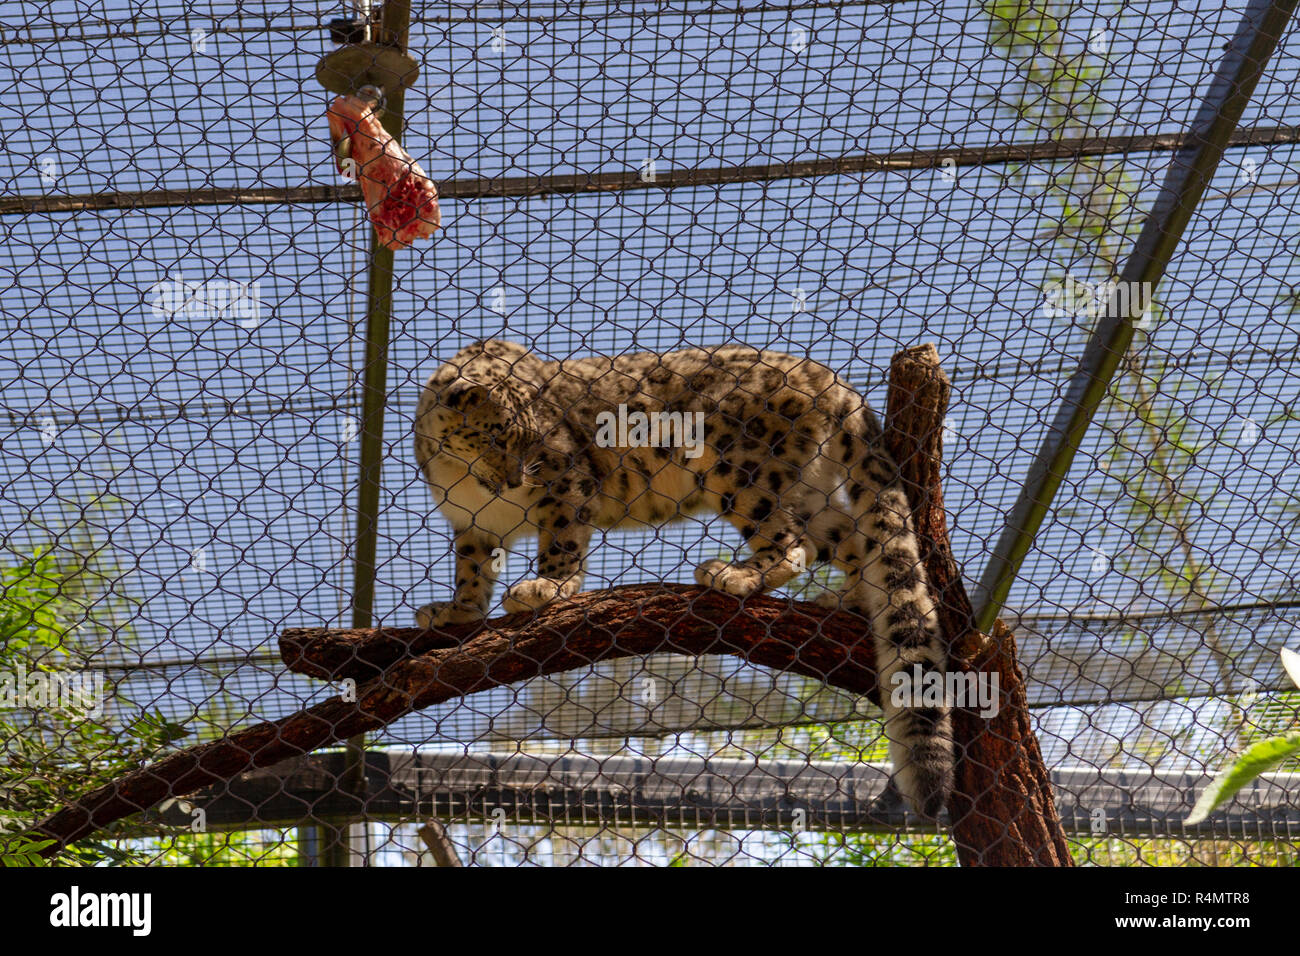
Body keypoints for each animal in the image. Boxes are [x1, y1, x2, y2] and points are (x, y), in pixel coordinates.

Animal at [413, 338, 954, 816]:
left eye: (533, 441)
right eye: (496, 436)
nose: (514, 479)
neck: (466, 479)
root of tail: (827, 376)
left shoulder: (566, 487)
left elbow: (562, 545)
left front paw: (543, 589)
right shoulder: (473, 523)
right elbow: (471, 568)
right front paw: (455, 611)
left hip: (742, 469)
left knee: (793, 542)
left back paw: (733, 575)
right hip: (808, 491)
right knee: (847, 538)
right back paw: (845, 600)